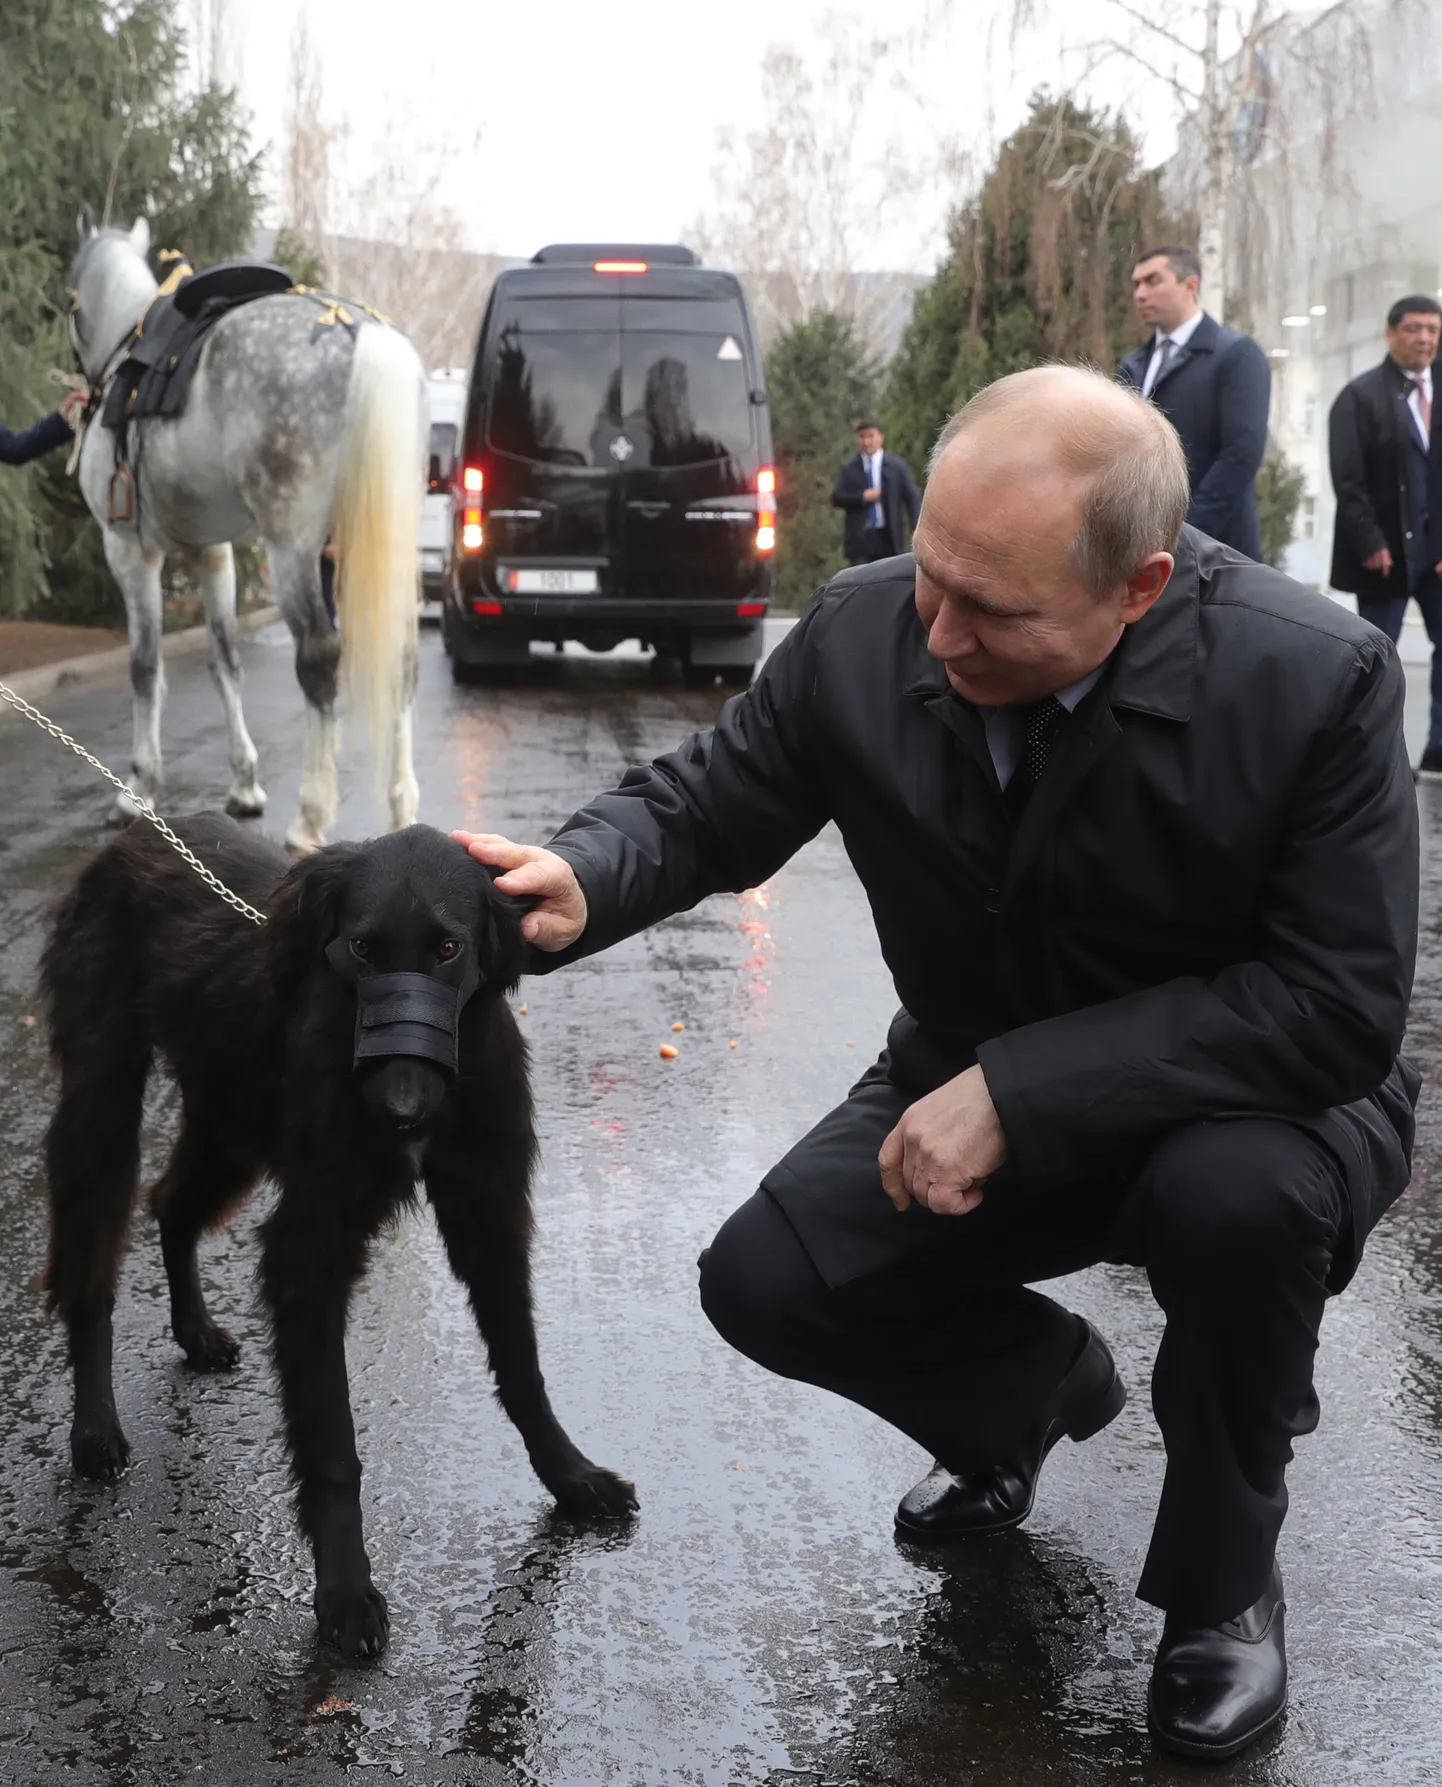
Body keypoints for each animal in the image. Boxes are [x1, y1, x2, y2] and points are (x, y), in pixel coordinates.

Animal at [40, 822, 632, 1658]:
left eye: (448, 948)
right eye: (359, 947)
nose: (402, 1111)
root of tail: (127, 837)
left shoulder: (487, 1209)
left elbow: (523, 1370)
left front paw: (569, 1475)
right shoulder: (313, 1239)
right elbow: (331, 1441)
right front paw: (345, 1590)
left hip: (232, 1119)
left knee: (171, 1204)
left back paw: (194, 1328)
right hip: (106, 1097)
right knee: (92, 1260)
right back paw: (94, 1425)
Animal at [67, 212, 425, 847]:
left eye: (67, 299)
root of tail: (356, 332)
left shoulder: (131, 552)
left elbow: (145, 667)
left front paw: (138, 789)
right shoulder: (213, 553)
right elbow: (224, 662)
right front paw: (244, 784)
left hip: (293, 547)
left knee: (319, 655)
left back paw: (310, 817)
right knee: (403, 660)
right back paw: (402, 810)